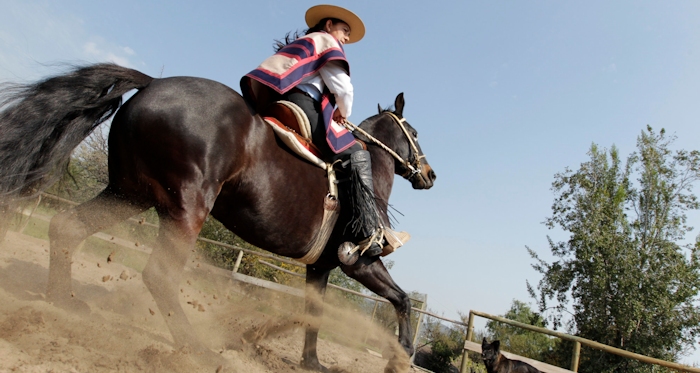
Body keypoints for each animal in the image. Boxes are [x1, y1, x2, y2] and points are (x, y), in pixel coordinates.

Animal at [0, 63, 434, 370]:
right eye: (412, 133)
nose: (429, 175)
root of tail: (152, 84)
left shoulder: (321, 267)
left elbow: (313, 314)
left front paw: (312, 363)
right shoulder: (360, 263)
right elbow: (403, 301)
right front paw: (401, 357)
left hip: (128, 194)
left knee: (67, 227)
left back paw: (62, 303)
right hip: (186, 208)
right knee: (160, 275)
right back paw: (196, 349)